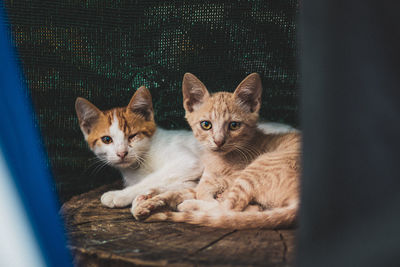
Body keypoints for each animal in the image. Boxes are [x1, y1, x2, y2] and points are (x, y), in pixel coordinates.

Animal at [75, 87, 205, 210]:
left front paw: (120, 195)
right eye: (107, 139)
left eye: (132, 136)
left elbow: (153, 178)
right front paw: (154, 193)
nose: (122, 153)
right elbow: (187, 185)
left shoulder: (188, 161)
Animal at [134, 74, 300, 230]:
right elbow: (181, 191)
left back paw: (189, 205)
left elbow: (206, 190)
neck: (218, 160)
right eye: (206, 125)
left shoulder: (232, 177)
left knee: (230, 209)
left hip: (259, 166)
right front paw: (147, 201)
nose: (219, 141)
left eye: (234, 125)